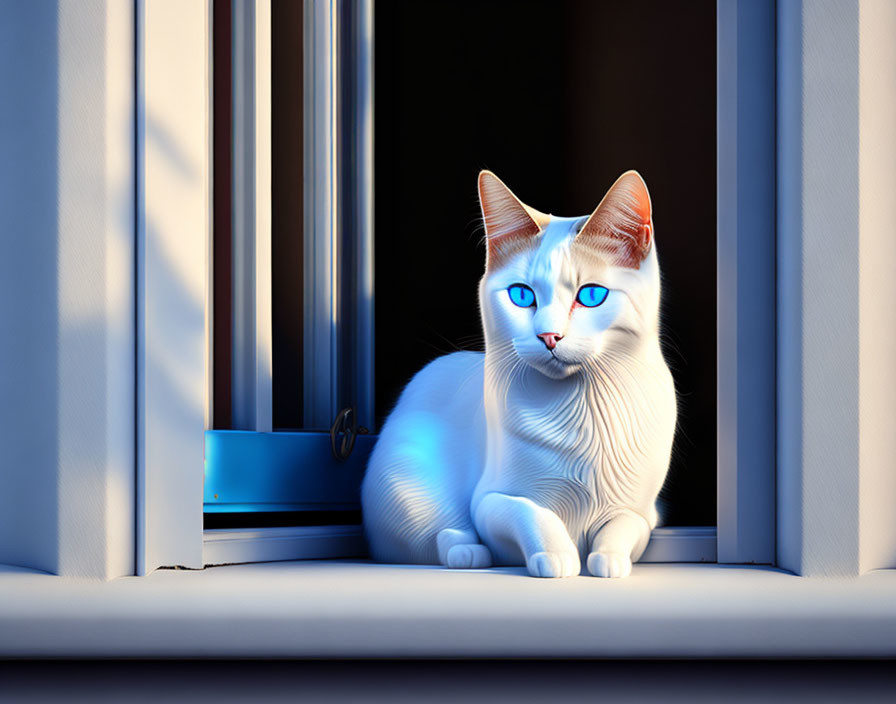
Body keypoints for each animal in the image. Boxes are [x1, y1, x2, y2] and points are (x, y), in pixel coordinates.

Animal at [360, 170, 676, 576]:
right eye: (522, 296)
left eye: (591, 296)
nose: (548, 336)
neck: (582, 412)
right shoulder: (490, 500)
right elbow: (532, 512)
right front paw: (557, 557)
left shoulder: (645, 512)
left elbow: (622, 524)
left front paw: (609, 560)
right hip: (407, 486)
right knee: (441, 534)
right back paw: (468, 553)